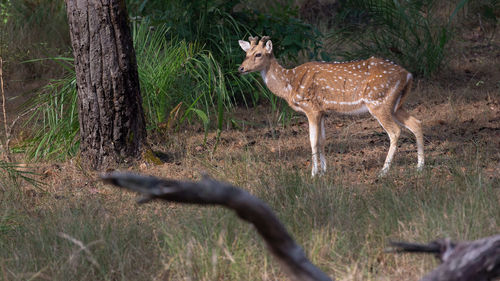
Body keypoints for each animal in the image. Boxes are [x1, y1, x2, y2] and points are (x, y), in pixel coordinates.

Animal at [237, 35, 422, 175]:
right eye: (246, 53)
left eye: (258, 54)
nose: (241, 68)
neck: (289, 83)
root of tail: (408, 75)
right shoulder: (322, 111)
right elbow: (322, 140)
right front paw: (324, 170)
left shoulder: (311, 108)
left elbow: (313, 141)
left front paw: (314, 173)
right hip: (396, 105)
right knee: (416, 123)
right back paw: (420, 166)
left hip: (378, 102)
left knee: (395, 131)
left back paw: (384, 171)